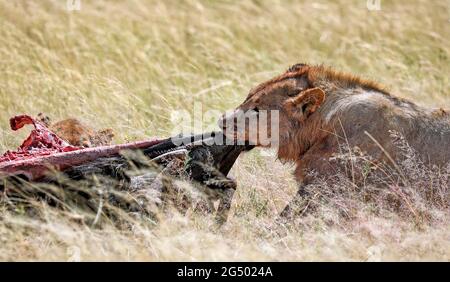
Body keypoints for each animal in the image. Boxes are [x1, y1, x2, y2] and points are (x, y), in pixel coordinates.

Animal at [220, 64, 448, 216]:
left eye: (257, 110)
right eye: (248, 97)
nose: (221, 121)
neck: (322, 126)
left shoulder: (326, 188)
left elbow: (285, 221)